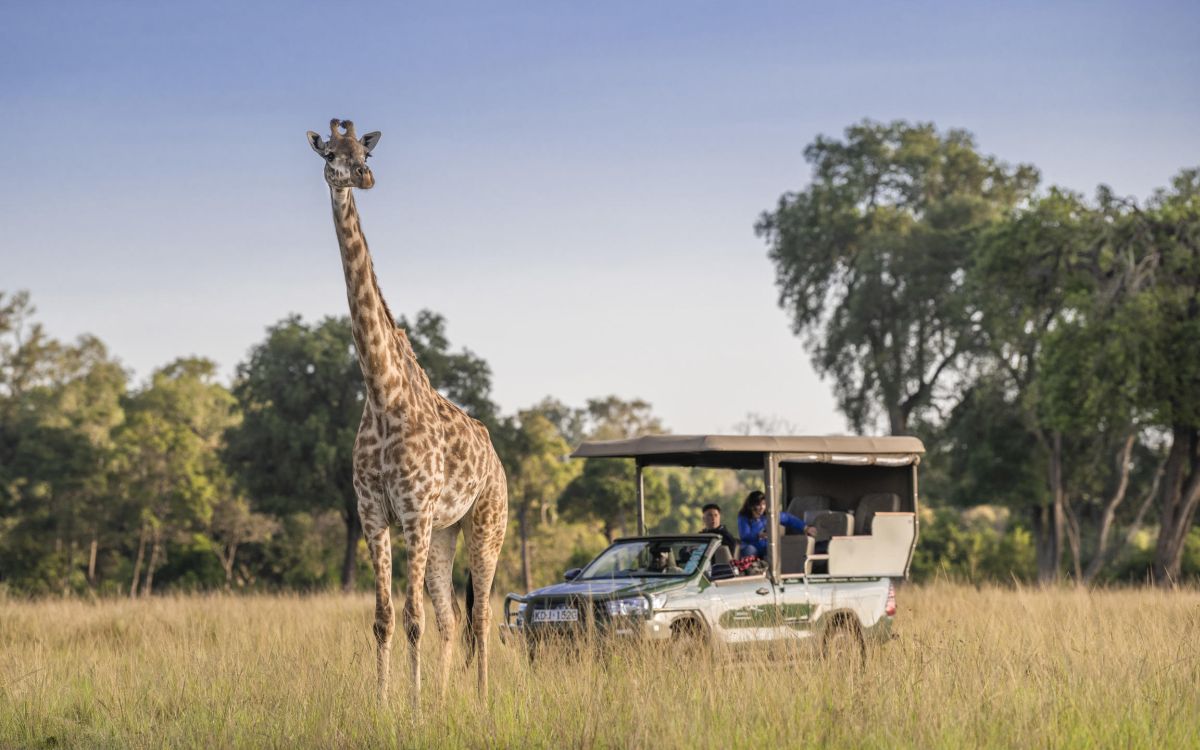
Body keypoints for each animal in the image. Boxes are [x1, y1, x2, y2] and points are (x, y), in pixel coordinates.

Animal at [306, 119, 508, 706]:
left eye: (365, 152)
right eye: (329, 153)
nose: (362, 177)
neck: (381, 392)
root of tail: (498, 461)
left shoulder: (414, 510)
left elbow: (412, 617)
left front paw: (413, 709)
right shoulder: (374, 512)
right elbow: (384, 619)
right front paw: (386, 703)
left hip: (487, 523)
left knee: (481, 615)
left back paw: (479, 700)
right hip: (445, 532)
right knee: (450, 617)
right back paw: (444, 697)